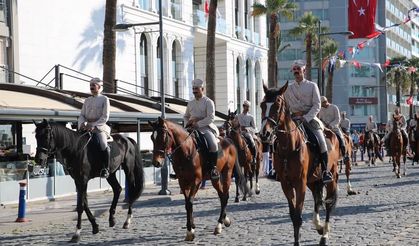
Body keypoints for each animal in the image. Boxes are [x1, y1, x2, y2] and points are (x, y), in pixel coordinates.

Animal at [260, 83, 340, 246]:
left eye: (277, 105)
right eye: (262, 105)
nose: (264, 134)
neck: (289, 147)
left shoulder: (300, 183)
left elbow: (298, 216)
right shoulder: (286, 184)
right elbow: (293, 215)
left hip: (331, 177)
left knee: (328, 203)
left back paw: (324, 235)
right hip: (313, 180)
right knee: (317, 199)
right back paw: (319, 227)